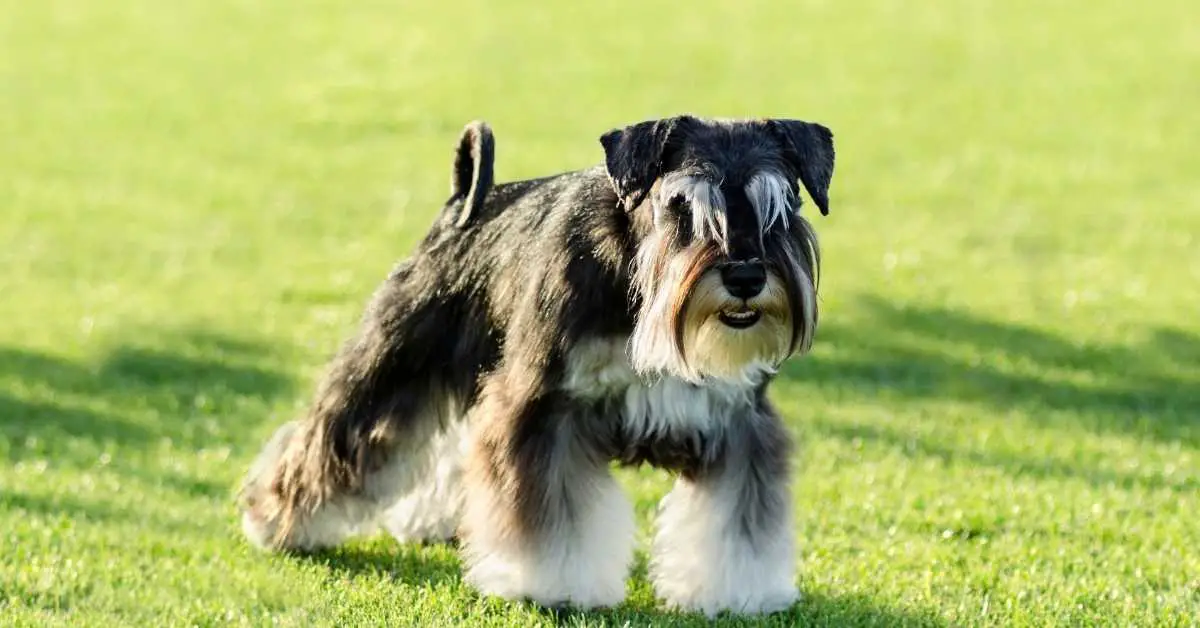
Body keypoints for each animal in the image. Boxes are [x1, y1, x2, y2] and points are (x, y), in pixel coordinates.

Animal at [234, 115, 835, 614]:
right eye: (681, 207)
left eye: (782, 207)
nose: (745, 276)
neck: (637, 276)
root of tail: (463, 201)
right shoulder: (543, 412)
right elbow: (551, 515)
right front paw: (549, 586)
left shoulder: (740, 424)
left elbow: (737, 521)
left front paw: (739, 592)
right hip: (396, 364)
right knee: (333, 436)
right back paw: (275, 520)